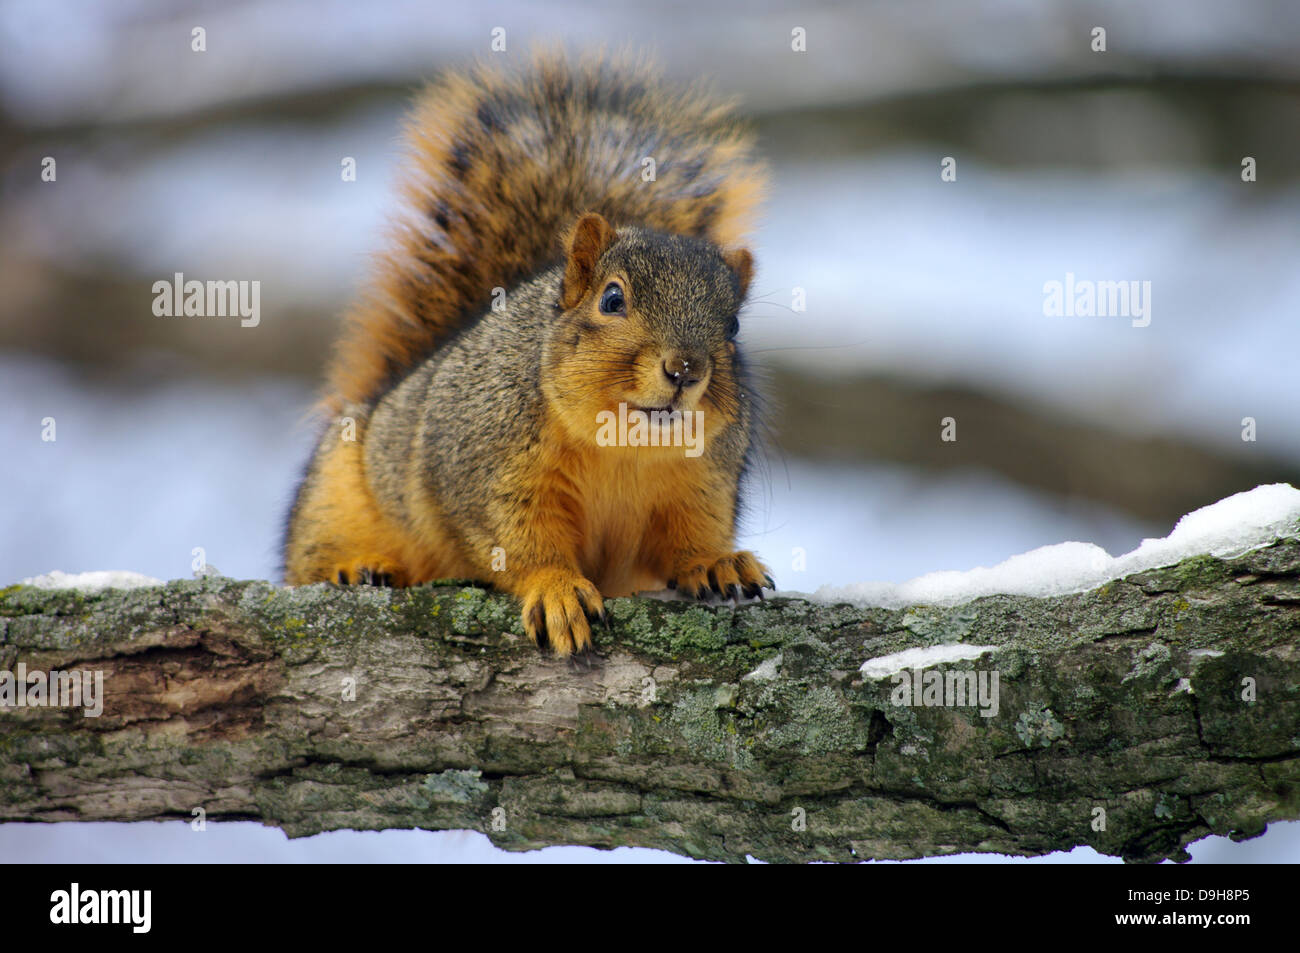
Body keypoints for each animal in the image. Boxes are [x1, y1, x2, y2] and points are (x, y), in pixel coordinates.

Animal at [284, 52, 769, 655]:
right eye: (612, 299)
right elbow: (519, 544)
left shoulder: (703, 484)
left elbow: (687, 541)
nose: (684, 368)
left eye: (734, 325)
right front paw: (557, 589)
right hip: (337, 490)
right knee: (313, 556)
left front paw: (718, 562)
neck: (623, 447)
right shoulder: (489, 471)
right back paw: (356, 567)